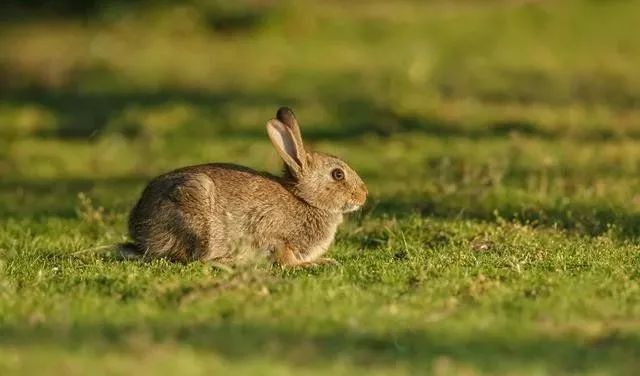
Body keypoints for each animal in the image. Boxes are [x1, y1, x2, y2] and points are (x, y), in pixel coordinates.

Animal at [122, 106, 368, 268]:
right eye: (338, 174)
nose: (364, 195)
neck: (305, 199)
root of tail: (139, 228)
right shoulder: (275, 237)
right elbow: (283, 257)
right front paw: (309, 265)